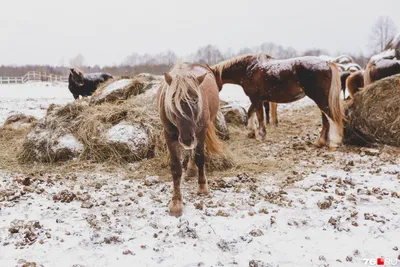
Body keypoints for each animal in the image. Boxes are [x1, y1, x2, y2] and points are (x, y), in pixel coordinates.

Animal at [157, 61, 225, 217]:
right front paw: (176, 203)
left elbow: (200, 158)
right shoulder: (169, 135)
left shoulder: (200, 132)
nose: (187, 138)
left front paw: (202, 186)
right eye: (172, 101)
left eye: (195, 100)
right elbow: (176, 168)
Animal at [211, 54, 346, 151]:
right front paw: (251, 131)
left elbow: (259, 117)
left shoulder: (256, 98)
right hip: (322, 99)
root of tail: (327, 63)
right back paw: (320, 142)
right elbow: (251, 112)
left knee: (332, 118)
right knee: (326, 120)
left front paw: (260, 136)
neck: (248, 68)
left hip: (320, 99)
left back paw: (333, 143)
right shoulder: (259, 99)